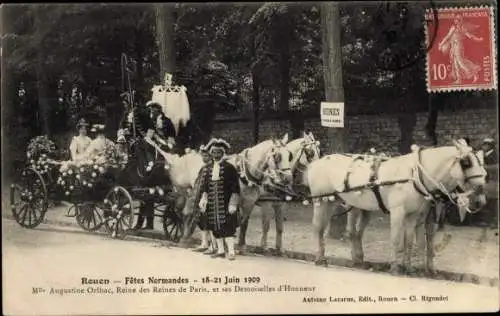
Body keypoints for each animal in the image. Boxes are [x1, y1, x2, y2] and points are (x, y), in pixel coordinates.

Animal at [306, 141, 486, 274]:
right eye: (466, 162)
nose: (480, 200)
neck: (414, 174)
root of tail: (318, 162)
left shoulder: (414, 215)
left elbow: (410, 241)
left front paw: (409, 267)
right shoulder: (398, 212)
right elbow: (397, 239)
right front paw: (396, 266)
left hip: (339, 202)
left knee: (353, 232)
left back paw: (356, 260)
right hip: (321, 200)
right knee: (318, 228)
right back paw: (320, 259)